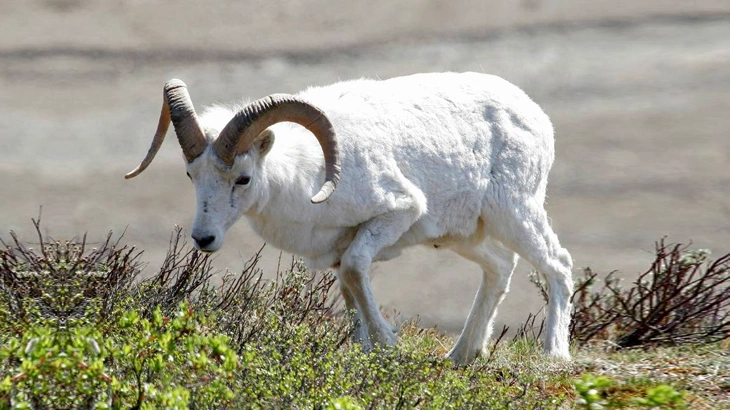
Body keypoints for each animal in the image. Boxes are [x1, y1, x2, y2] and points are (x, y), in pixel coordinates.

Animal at [125, 72, 574, 365]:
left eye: (243, 178)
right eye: (191, 175)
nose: (204, 239)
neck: (310, 175)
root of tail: (535, 115)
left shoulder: (395, 215)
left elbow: (358, 273)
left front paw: (387, 344)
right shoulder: (341, 248)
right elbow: (348, 290)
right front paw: (362, 350)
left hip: (515, 214)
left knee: (559, 265)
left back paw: (554, 353)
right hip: (465, 236)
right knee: (500, 268)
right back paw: (461, 355)